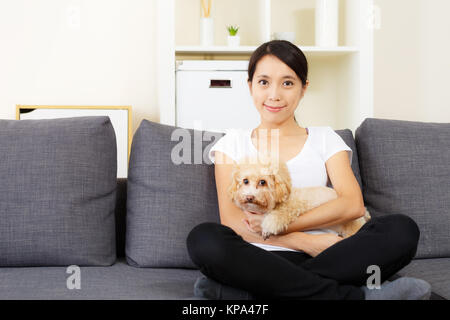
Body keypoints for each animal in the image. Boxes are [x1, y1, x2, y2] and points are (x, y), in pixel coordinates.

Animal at [227, 155, 370, 240]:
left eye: (263, 182)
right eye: (245, 181)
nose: (249, 197)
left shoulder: (295, 205)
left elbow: (280, 214)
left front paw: (268, 225)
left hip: (352, 227)